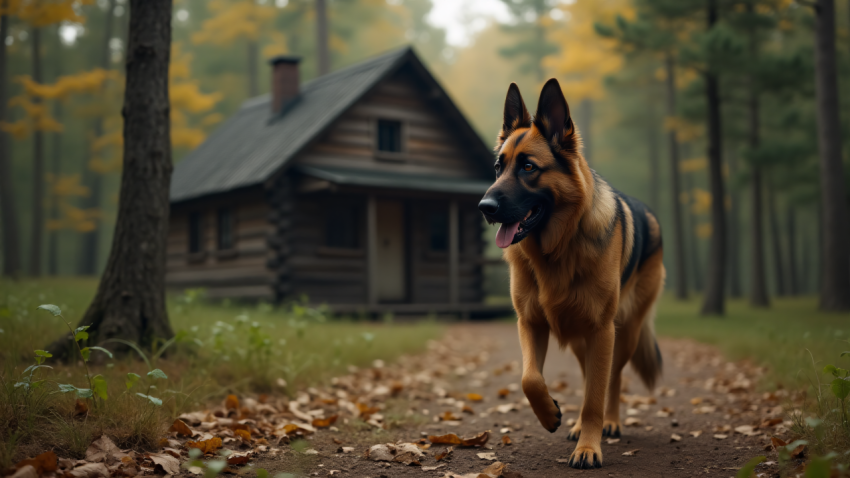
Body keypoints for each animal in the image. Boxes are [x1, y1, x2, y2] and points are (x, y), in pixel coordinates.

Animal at [476, 80, 664, 468]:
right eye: (499, 167)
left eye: (528, 167)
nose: (483, 207)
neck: (557, 250)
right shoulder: (531, 323)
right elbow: (529, 379)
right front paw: (550, 414)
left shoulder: (601, 331)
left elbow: (595, 394)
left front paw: (590, 447)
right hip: (582, 340)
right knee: (589, 375)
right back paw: (577, 425)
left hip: (623, 334)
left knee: (611, 380)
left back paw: (609, 423)